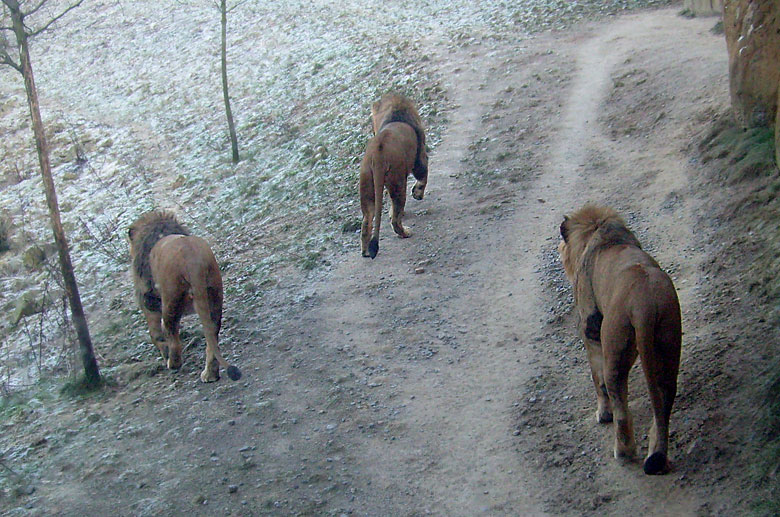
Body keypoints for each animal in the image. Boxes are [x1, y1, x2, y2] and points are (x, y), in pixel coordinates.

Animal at [128, 211, 241, 382]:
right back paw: (210, 374)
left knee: (173, 337)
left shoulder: (148, 299)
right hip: (214, 297)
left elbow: (155, 334)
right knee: (212, 336)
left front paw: (164, 352)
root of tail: (192, 259)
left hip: (170, 301)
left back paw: (173, 363)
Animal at [362, 92, 430, 258]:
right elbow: (423, 176)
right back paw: (405, 233)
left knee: (366, 221)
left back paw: (366, 251)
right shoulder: (420, 158)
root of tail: (378, 154)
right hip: (398, 182)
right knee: (395, 220)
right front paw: (417, 194)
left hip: (368, 188)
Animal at [556, 204, 680, 474]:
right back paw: (656, 455)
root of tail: (644, 304)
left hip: (614, 345)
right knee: (664, 402)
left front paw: (603, 414)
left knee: (619, 405)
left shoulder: (590, 329)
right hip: (668, 345)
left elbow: (597, 379)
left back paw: (623, 453)